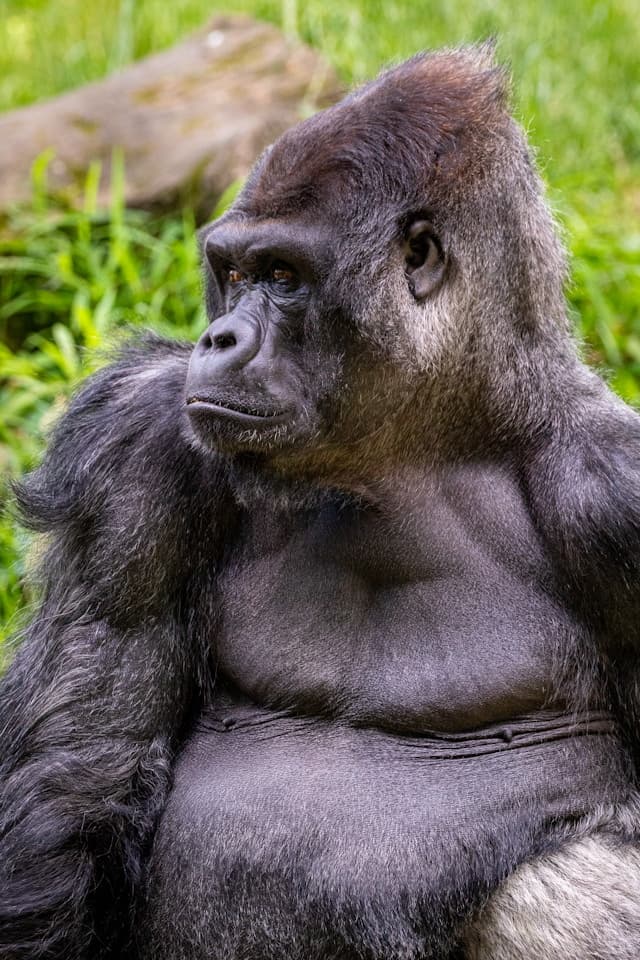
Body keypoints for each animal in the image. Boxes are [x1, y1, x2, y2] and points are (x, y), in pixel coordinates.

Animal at [1, 45, 640, 960]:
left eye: (282, 277)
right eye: (232, 274)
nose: (218, 339)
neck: (416, 448)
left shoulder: (615, 491)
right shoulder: (137, 444)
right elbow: (79, 778)